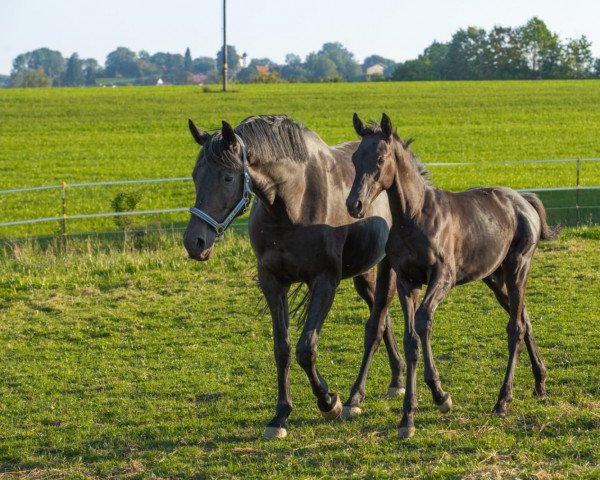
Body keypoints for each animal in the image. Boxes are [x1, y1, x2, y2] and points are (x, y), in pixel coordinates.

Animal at [183, 115, 406, 438]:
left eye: (227, 178)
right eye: (195, 175)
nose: (194, 242)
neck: (291, 203)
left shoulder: (324, 282)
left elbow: (305, 349)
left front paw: (329, 401)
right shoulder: (272, 283)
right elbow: (283, 349)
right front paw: (280, 415)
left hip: (386, 268)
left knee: (378, 320)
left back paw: (367, 393)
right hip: (363, 274)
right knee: (381, 317)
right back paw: (396, 378)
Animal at [346, 112, 556, 438]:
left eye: (380, 159)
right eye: (356, 158)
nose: (353, 205)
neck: (413, 217)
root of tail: (523, 201)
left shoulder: (442, 278)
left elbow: (423, 321)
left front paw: (439, 396)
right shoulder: (407, 281)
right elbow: (410, 338)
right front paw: (409, 416)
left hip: (517, 268)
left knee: (516, 327)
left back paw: (503, 401)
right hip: (494, 278)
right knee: (524, 318)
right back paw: (540, 382)